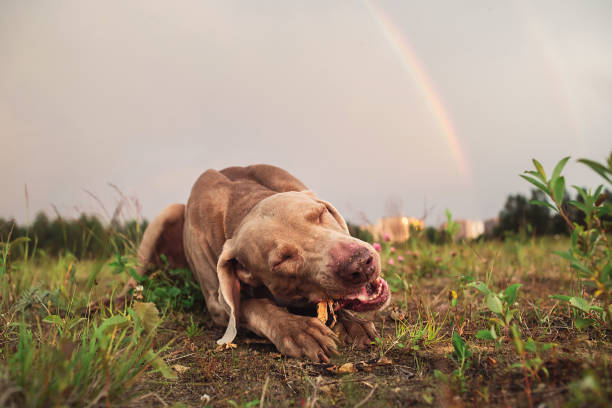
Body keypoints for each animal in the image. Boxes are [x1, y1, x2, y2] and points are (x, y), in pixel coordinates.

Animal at [128, 164, 390, 362]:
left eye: (320, 213)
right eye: (282, 260)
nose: (360, 263)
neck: (243, 201)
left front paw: (352, 324)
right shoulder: (215, 304)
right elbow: (248, 306)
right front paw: (297, 330)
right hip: (167, 215)